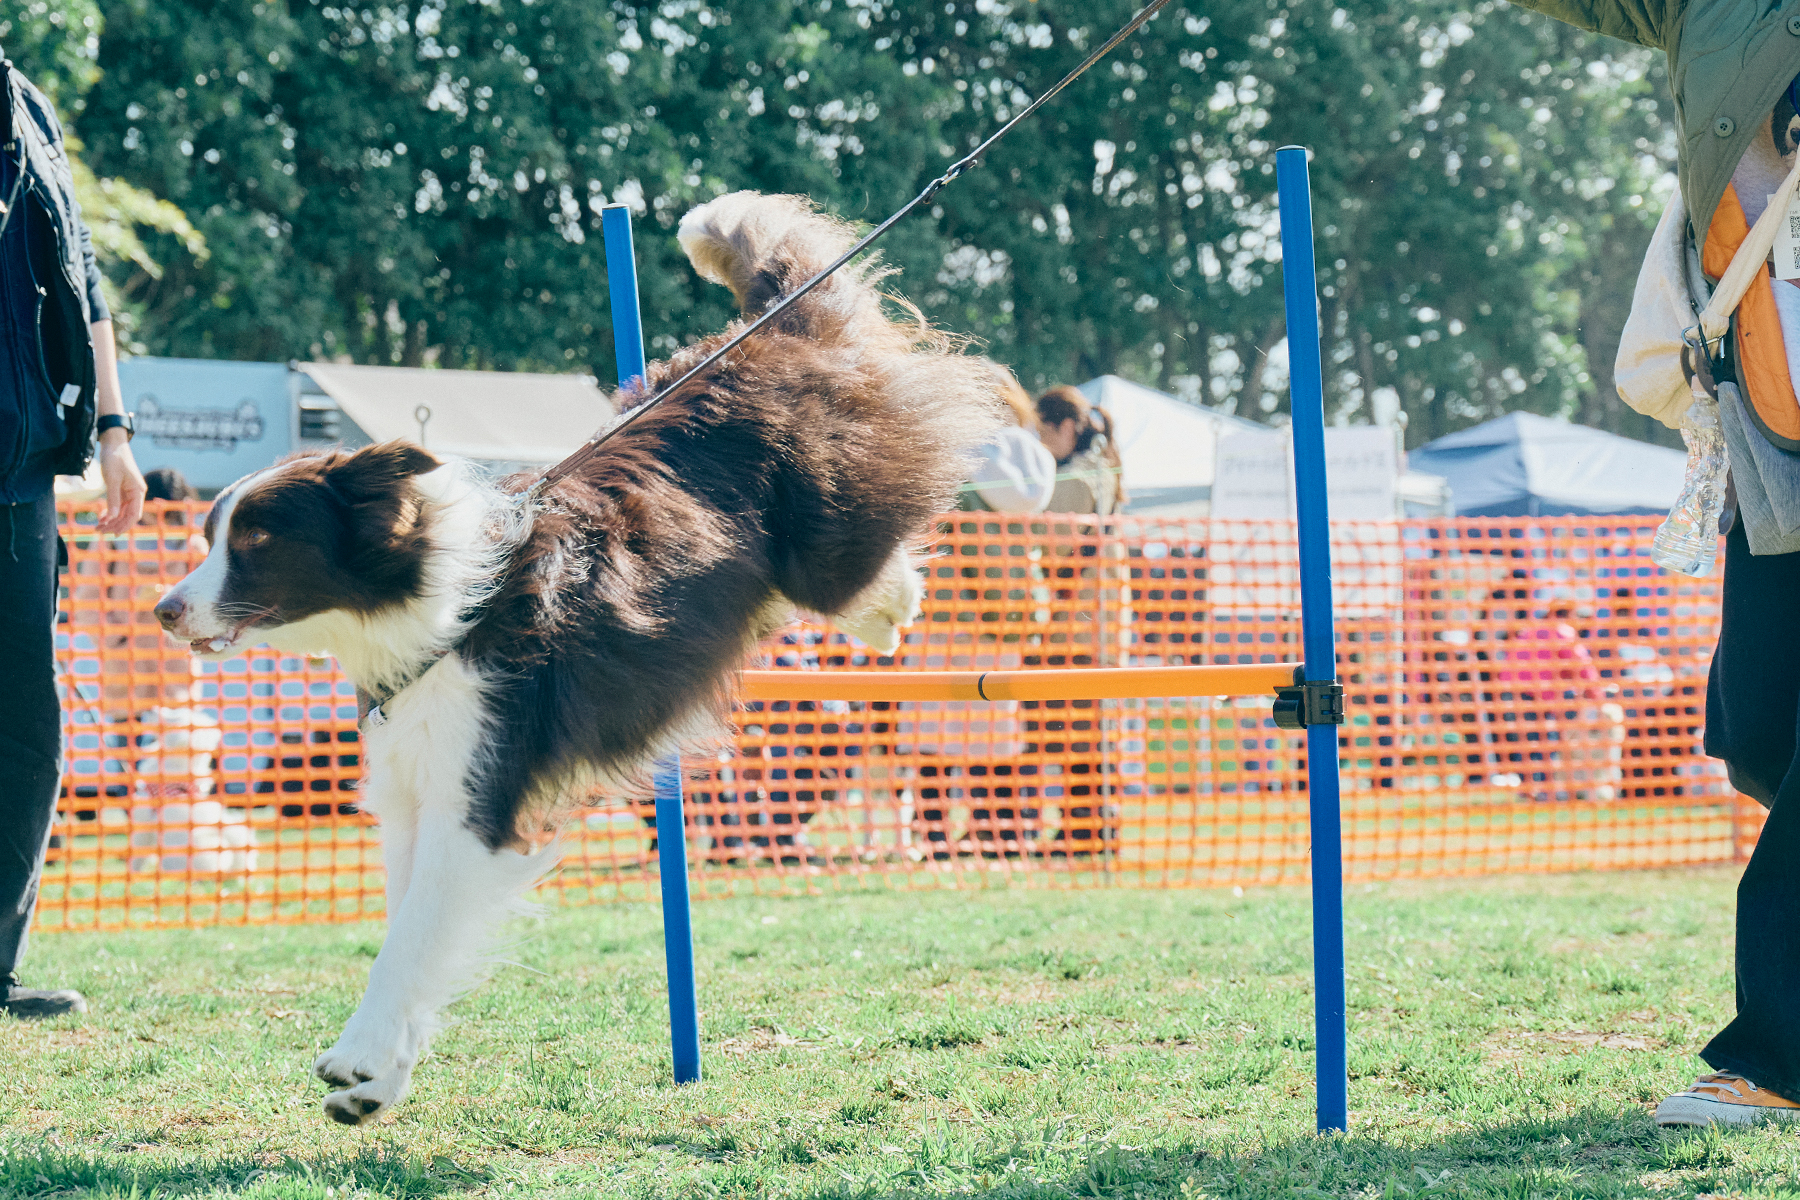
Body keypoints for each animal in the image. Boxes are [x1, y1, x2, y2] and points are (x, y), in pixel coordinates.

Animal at [153, 192, 1000, 1122]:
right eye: (210, 534)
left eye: (256, 541)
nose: (163, 611)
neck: (436, 610)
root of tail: (769, 333)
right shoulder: (416, 793)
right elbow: (413, 928)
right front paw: (383, 1078)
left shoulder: (480, 794)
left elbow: (410, 937)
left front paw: (358, 1058)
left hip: (824, 529)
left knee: (864, 560)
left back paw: (892, 608)